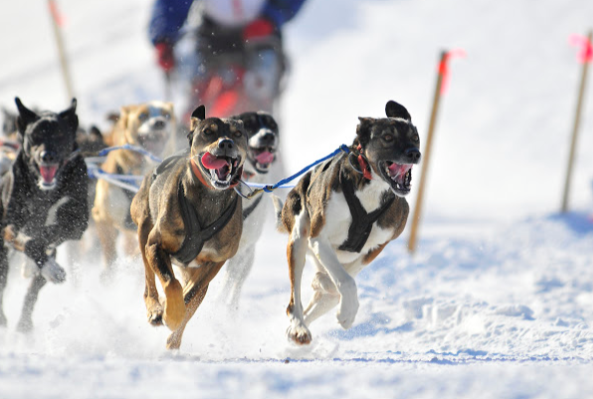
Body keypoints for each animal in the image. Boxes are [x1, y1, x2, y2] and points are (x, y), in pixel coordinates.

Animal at [0, 97, 89, 332]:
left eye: (59, 135)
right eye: (35, 136)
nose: (46, 156)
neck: (45, 193)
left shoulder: (77, 223)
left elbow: (48, 232)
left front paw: (38, 262)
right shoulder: (9, 226)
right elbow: (27, 239)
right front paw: (40, 261)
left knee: (31, 296)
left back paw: (24, 326)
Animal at [130, 104, 247, 350]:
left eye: (238, 134)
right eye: (208, 131)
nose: (226, 143)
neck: (210, 198)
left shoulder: (215, 262)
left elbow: (190, 295)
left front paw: (175, 314)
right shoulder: (156, 245)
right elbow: (171, 283)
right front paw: (170, 312)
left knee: (194, 299)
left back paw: (173, 339)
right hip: (144, 230)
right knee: (150, 282)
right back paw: (156, 308)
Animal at [215, 111, 280, 310]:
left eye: (272, 125)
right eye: (250, 125)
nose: (268, 135)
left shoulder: (241, 249)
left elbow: (227, 283)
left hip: (248, 257)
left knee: (236, 286)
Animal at [274, 101, 420, 346]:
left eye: (416, 137)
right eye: (388, 137)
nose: (414, 153)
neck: (370, 189)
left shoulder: (379, 244)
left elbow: (345, 278)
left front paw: (328, 288)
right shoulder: (318, 238)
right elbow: (346, 282)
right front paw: (347, 312)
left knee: (323, 298)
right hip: (299, 237)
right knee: (295, 302)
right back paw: (299, 328)